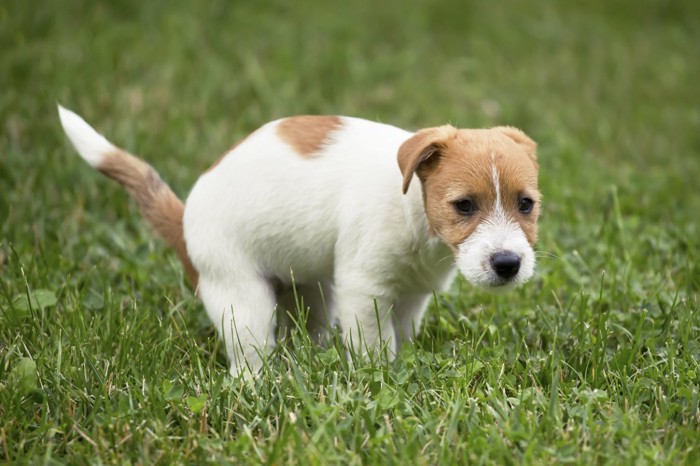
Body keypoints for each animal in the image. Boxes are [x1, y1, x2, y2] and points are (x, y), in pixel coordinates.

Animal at [60, 107, 540, 376]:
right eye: (464, 206)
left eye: (526, 204)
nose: (507, 263)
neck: (416, 211)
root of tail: (183, 222)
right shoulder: (364, 290)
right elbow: (375, 345)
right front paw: (379, 376)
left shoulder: (412, 295)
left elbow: (400, 335)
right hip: (243, 302)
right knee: (248, 361)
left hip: (312, 292)